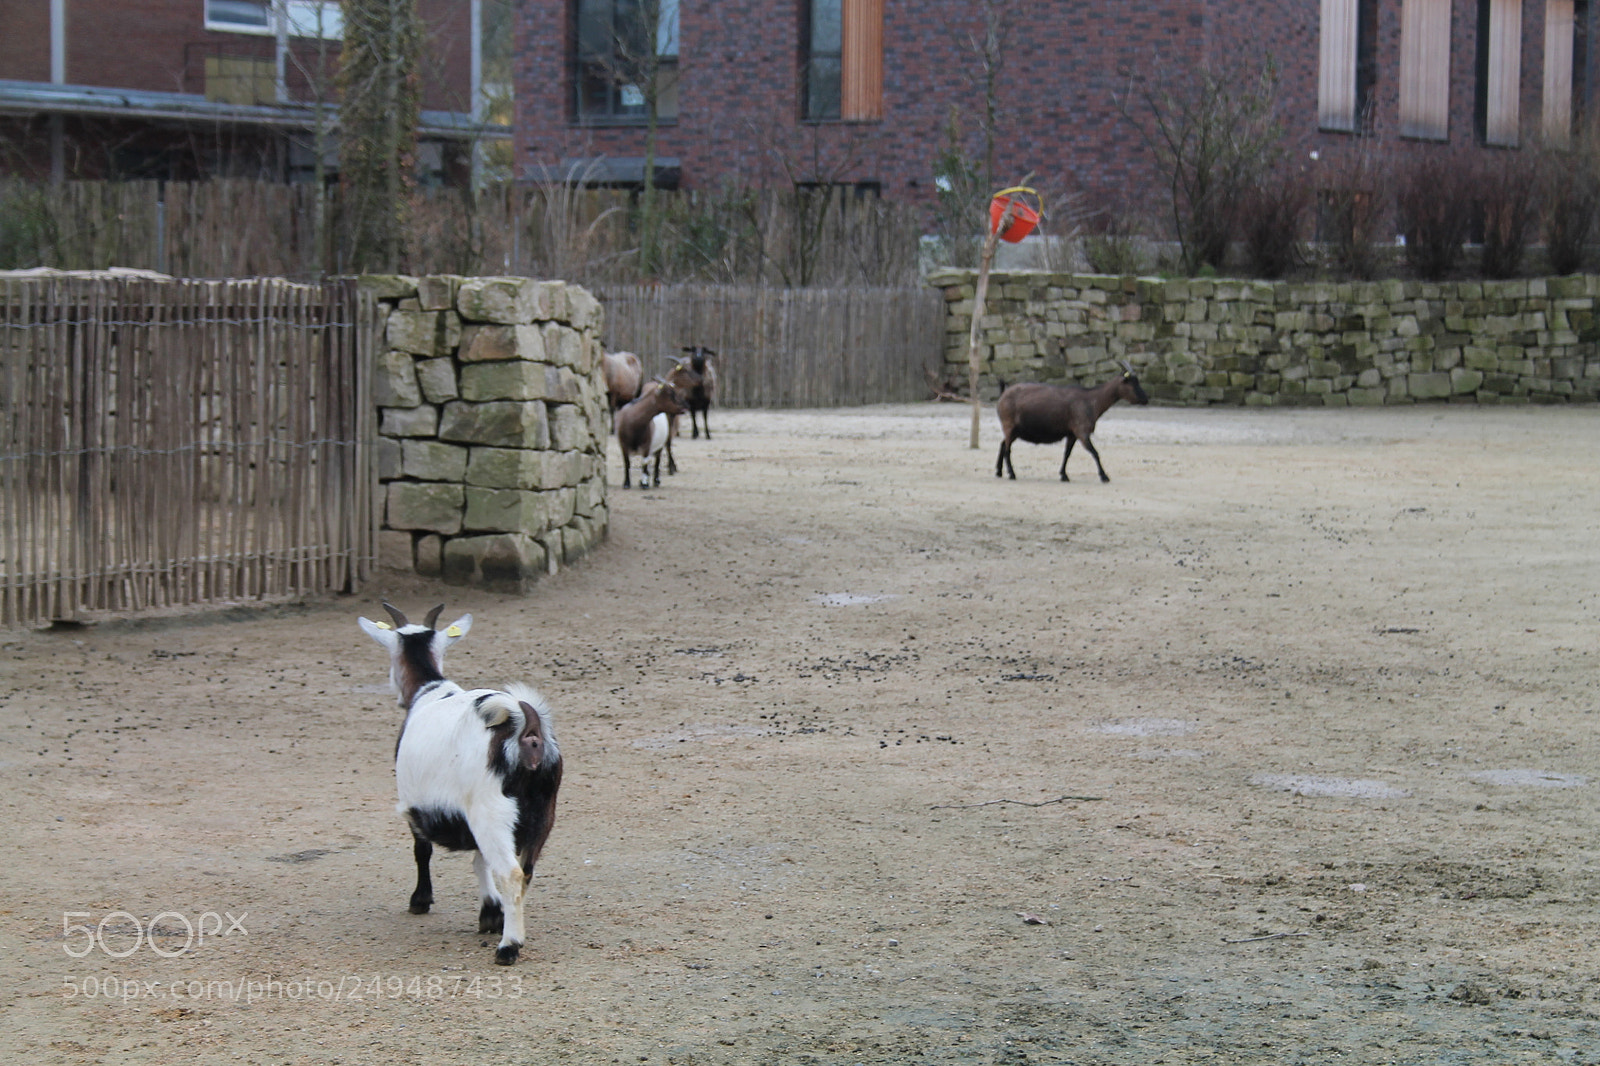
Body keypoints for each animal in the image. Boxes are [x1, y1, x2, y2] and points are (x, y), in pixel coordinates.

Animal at [359, 602, 562, 966]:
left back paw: (509, 947)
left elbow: (421, 849)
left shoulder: (415, 803)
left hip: (492, 811)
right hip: (543, 813)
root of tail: (526, 727)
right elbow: (479, 860)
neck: (430, 690)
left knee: (511, 873)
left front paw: (420, 900)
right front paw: (491, 914)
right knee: (525, 871)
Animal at [995, 361, 1149, 483]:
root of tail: (1003, 393)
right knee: (1007, 449)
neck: (1092, 400)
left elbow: (1067, 454)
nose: (1145, 399)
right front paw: (1104, 476)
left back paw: (999, 471)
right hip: (1009, 425)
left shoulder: (1072, 434)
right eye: (1132, 382)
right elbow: (1095, 452)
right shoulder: (1082, 431)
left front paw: (1063, 475)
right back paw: (1012, 474)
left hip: (1015, 430)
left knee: (1003, 444)